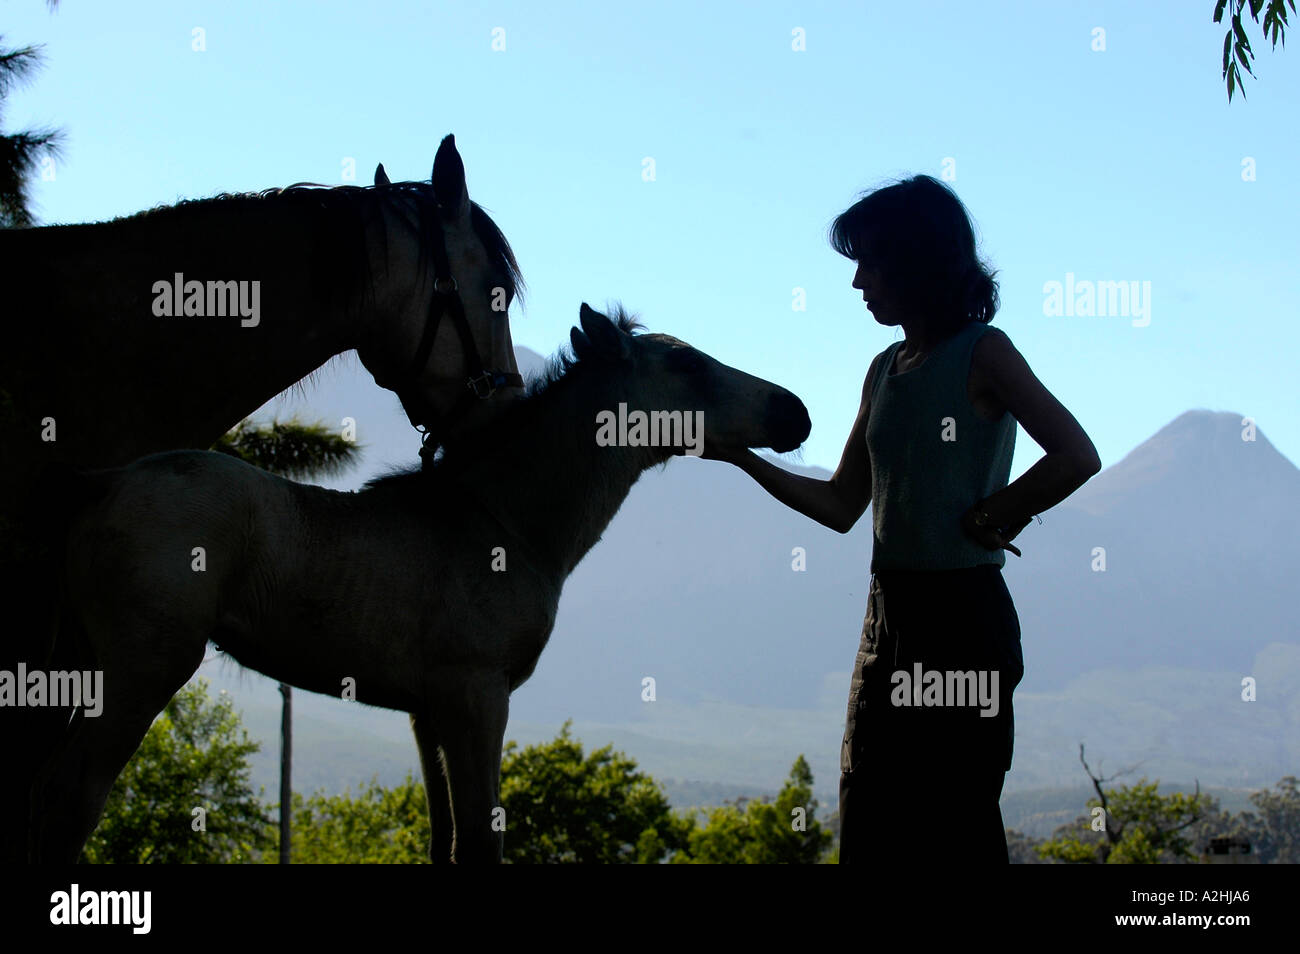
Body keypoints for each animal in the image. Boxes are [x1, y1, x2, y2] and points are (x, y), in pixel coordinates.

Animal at [40, 303, 811, 863]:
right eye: (684, 361)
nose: (795, 412)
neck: (502, 524)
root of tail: (103, 482)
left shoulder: (426, 713)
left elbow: (444, 841)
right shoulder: (476, 697)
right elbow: (479, 840)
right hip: (145, 665)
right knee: (76, 799)